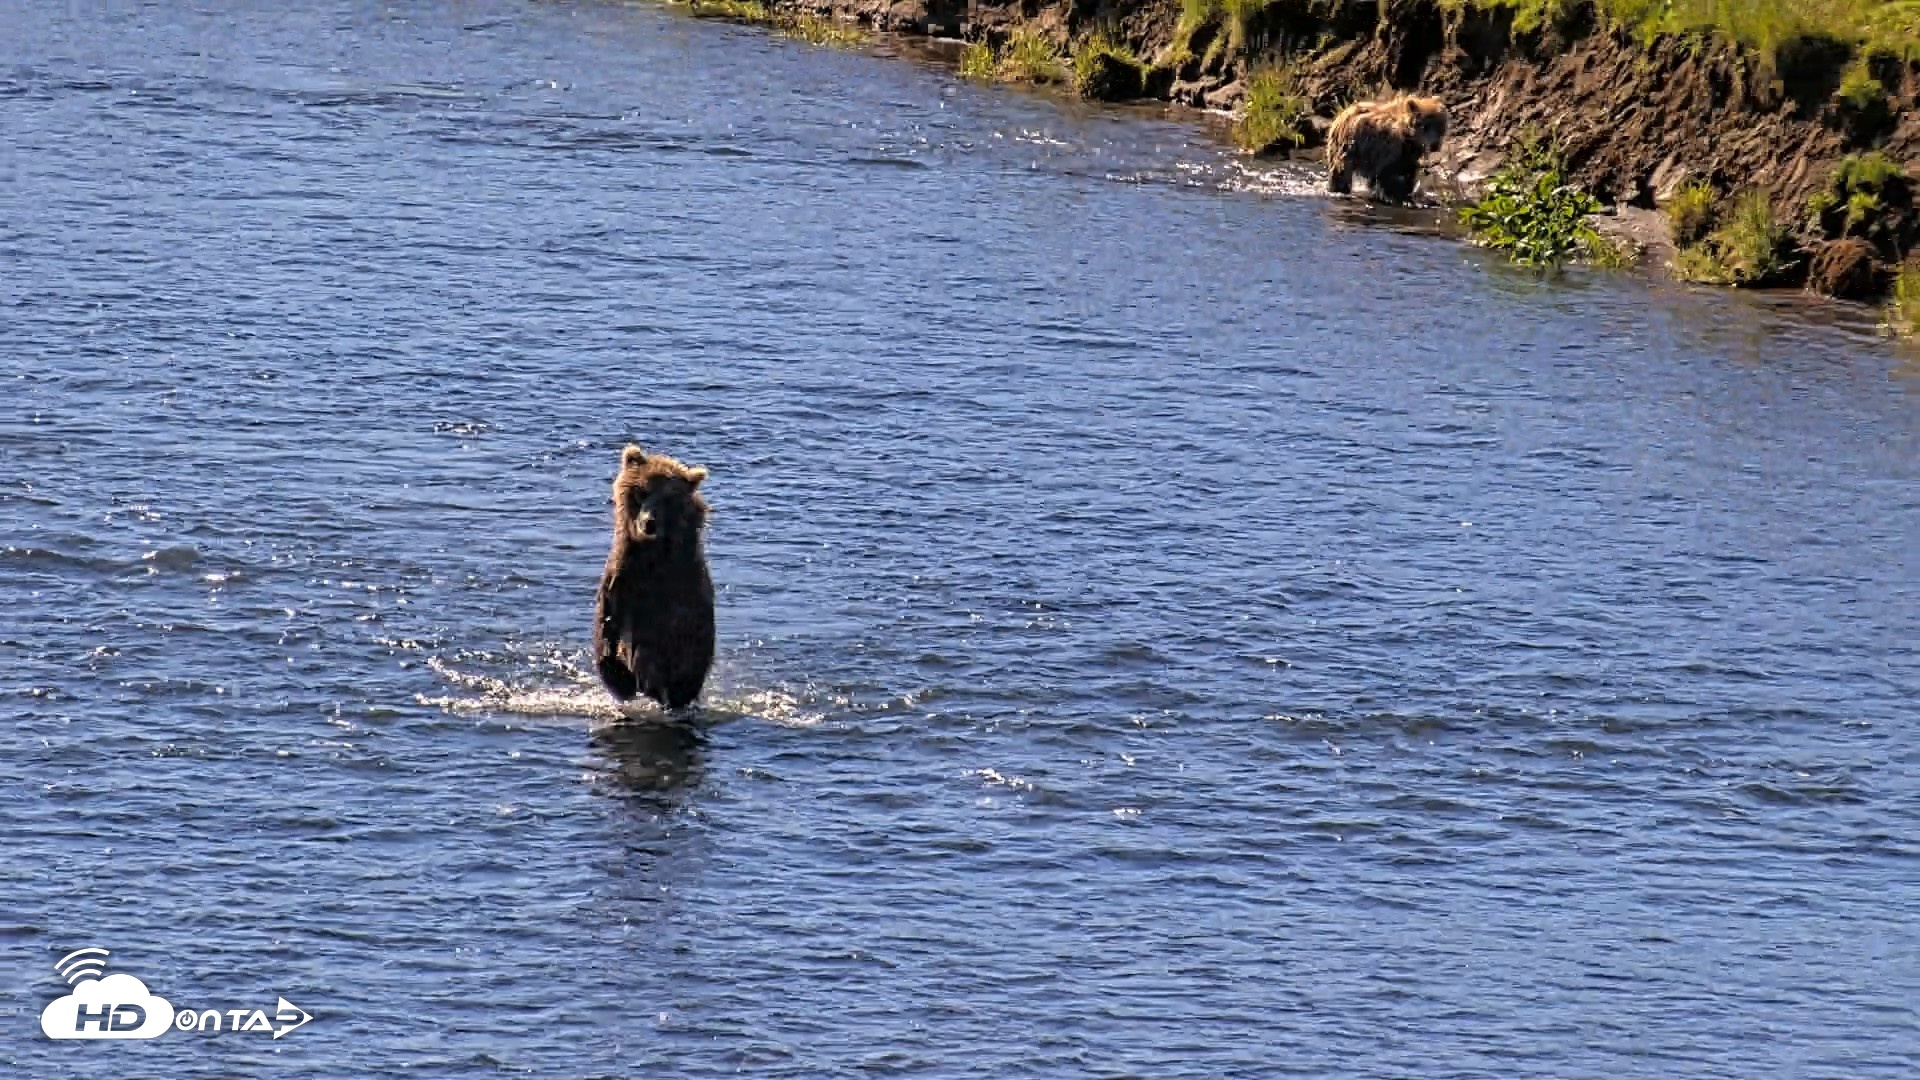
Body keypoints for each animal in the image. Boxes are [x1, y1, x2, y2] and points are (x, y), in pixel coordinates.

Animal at [593, 444, 715, 711]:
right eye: (642, 491)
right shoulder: (624, 571)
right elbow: (607, 618)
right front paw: (616, 677)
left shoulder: (675, 588)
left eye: (668, 499)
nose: (649, 522)